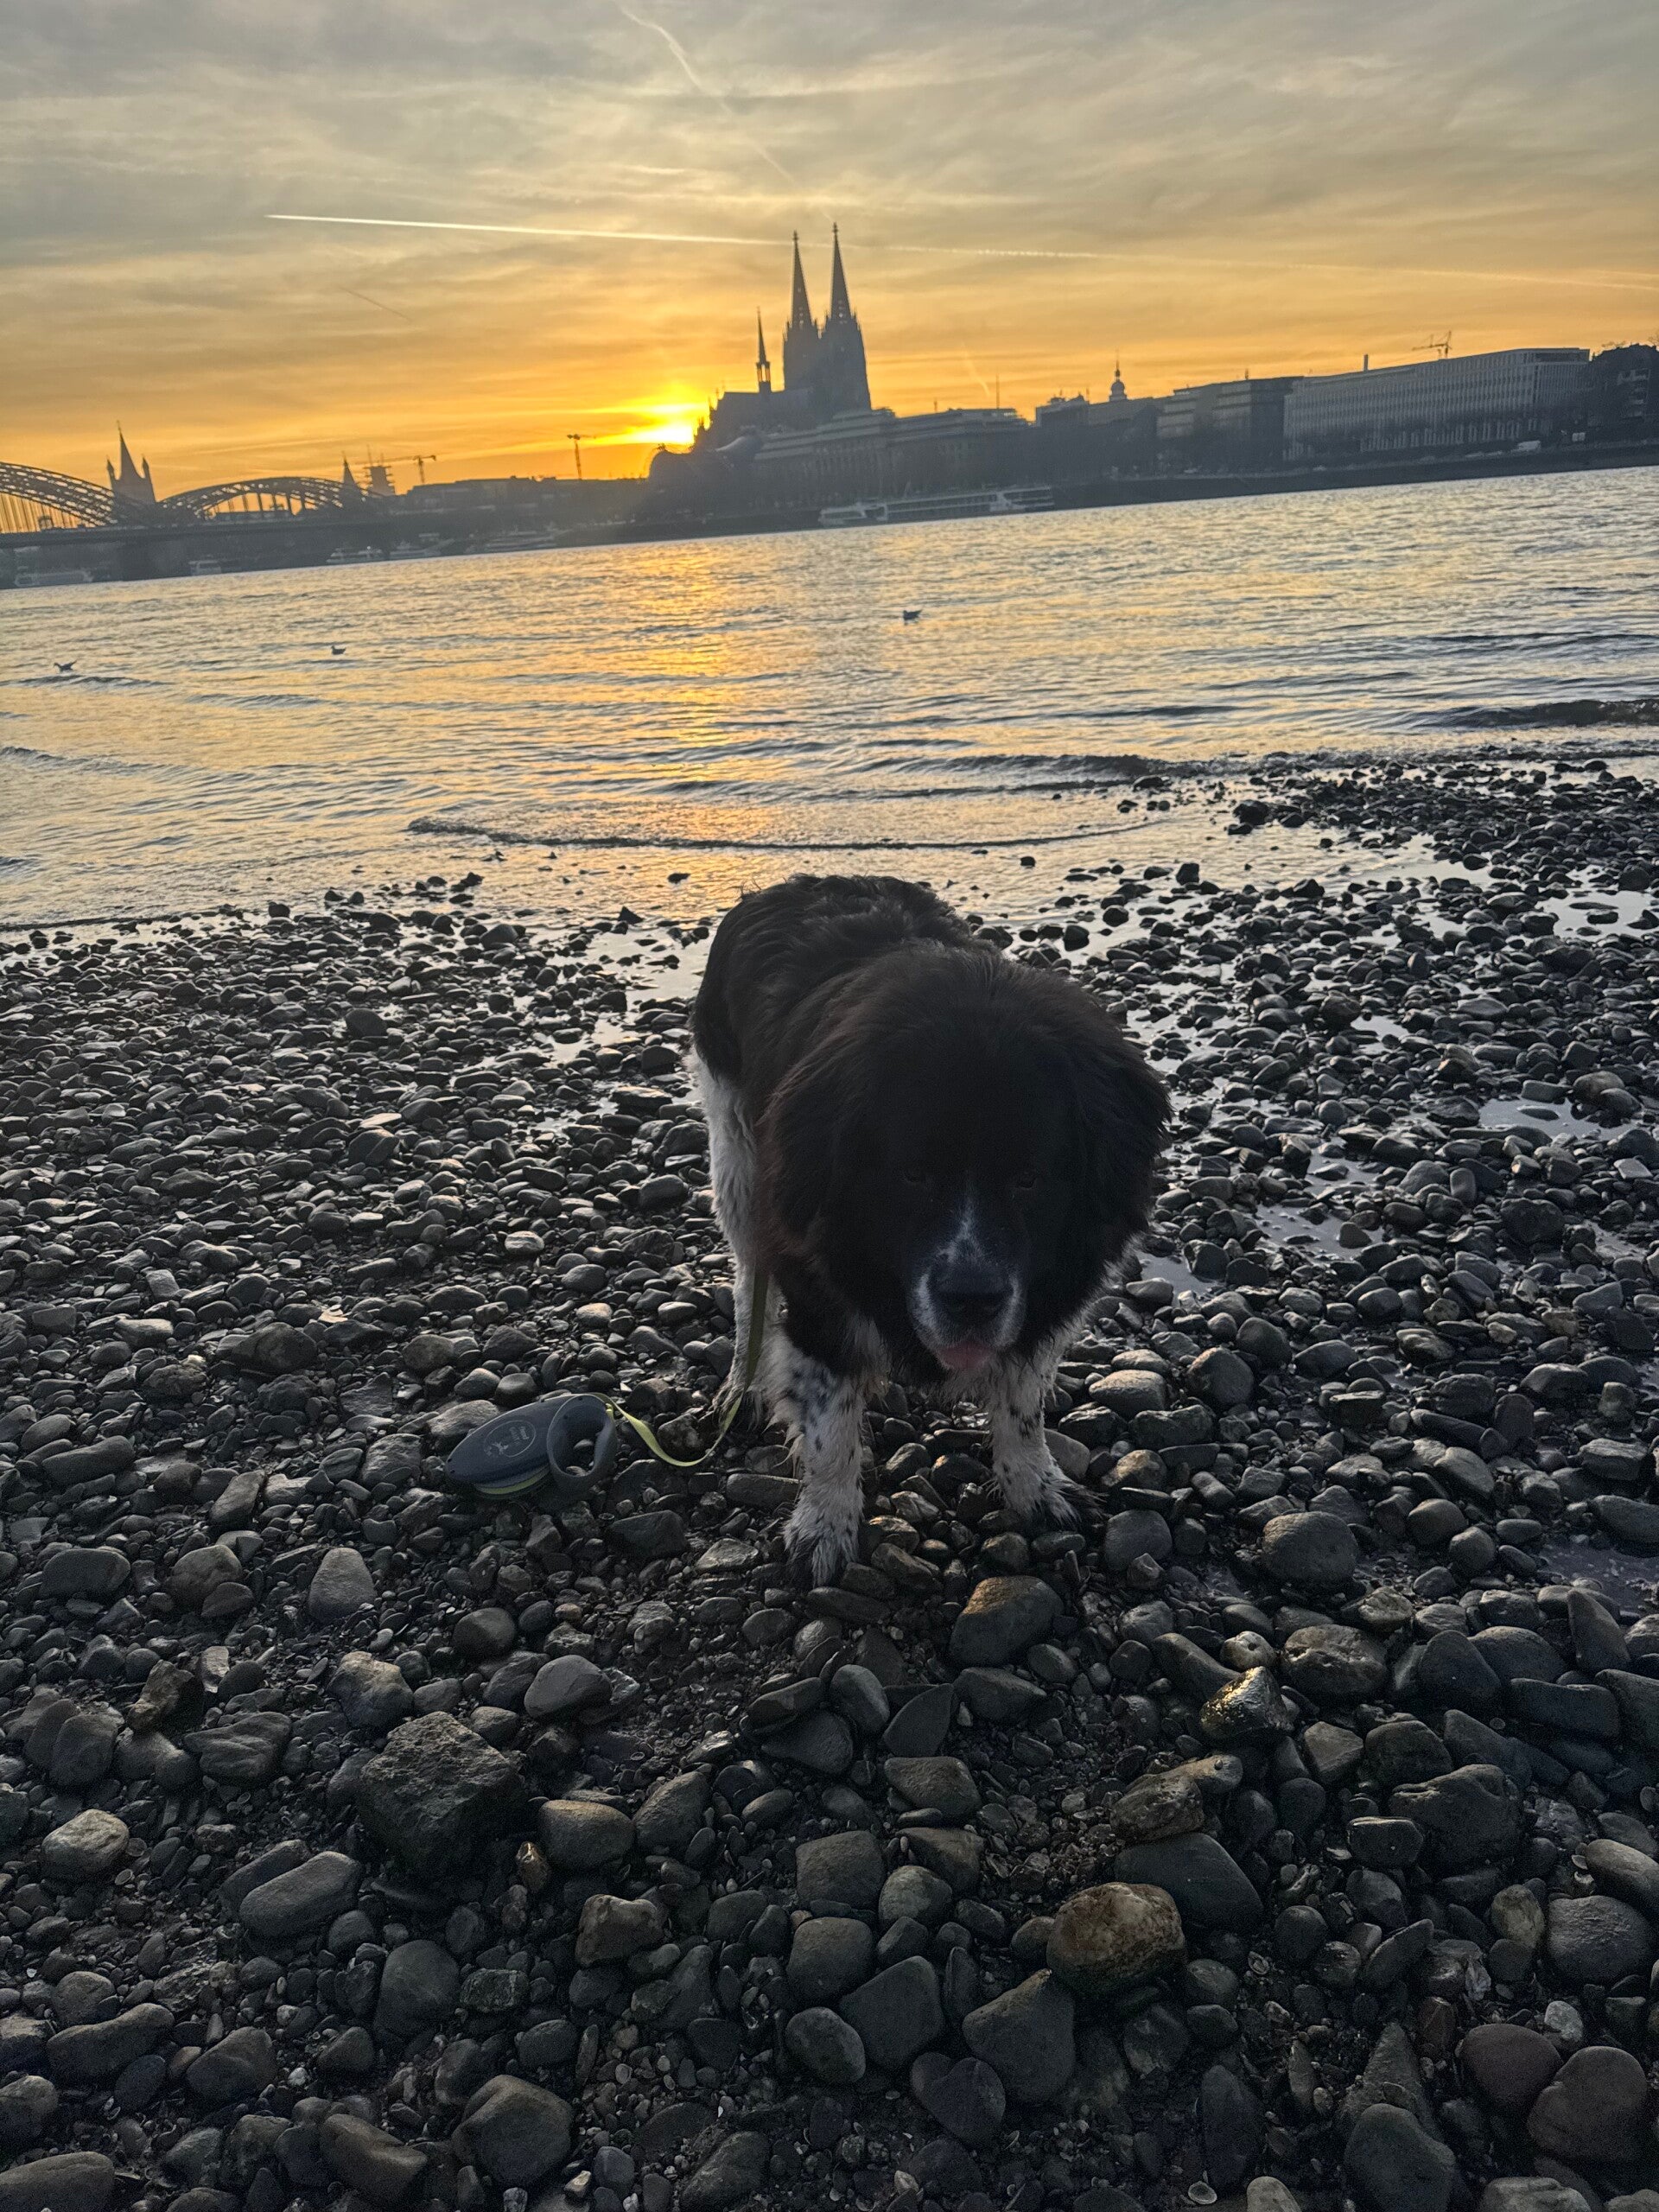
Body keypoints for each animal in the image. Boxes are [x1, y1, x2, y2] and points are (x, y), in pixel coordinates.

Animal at [691, 874, 1168, 1582]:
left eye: (1030, 1179)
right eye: (911, 1175)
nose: (971, 1300)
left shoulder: (1047, 1295)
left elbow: (1023, 1406)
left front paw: (1036, 1487)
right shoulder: (818, 1283)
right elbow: (830, 1426)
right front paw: (824, 1526)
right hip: (738, 1158)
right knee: (751, 1276)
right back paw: (739, 1386)